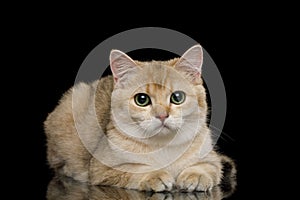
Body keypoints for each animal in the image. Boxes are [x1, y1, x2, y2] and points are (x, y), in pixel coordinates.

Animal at [45, 44, 237, 191]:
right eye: (142, 100)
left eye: (177, 97)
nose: (162, 115)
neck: (163, 146)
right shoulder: (101, 168)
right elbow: (133, 170)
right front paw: (155, 175)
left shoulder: (211, 159)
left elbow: (208, 167)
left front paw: (195, 177)